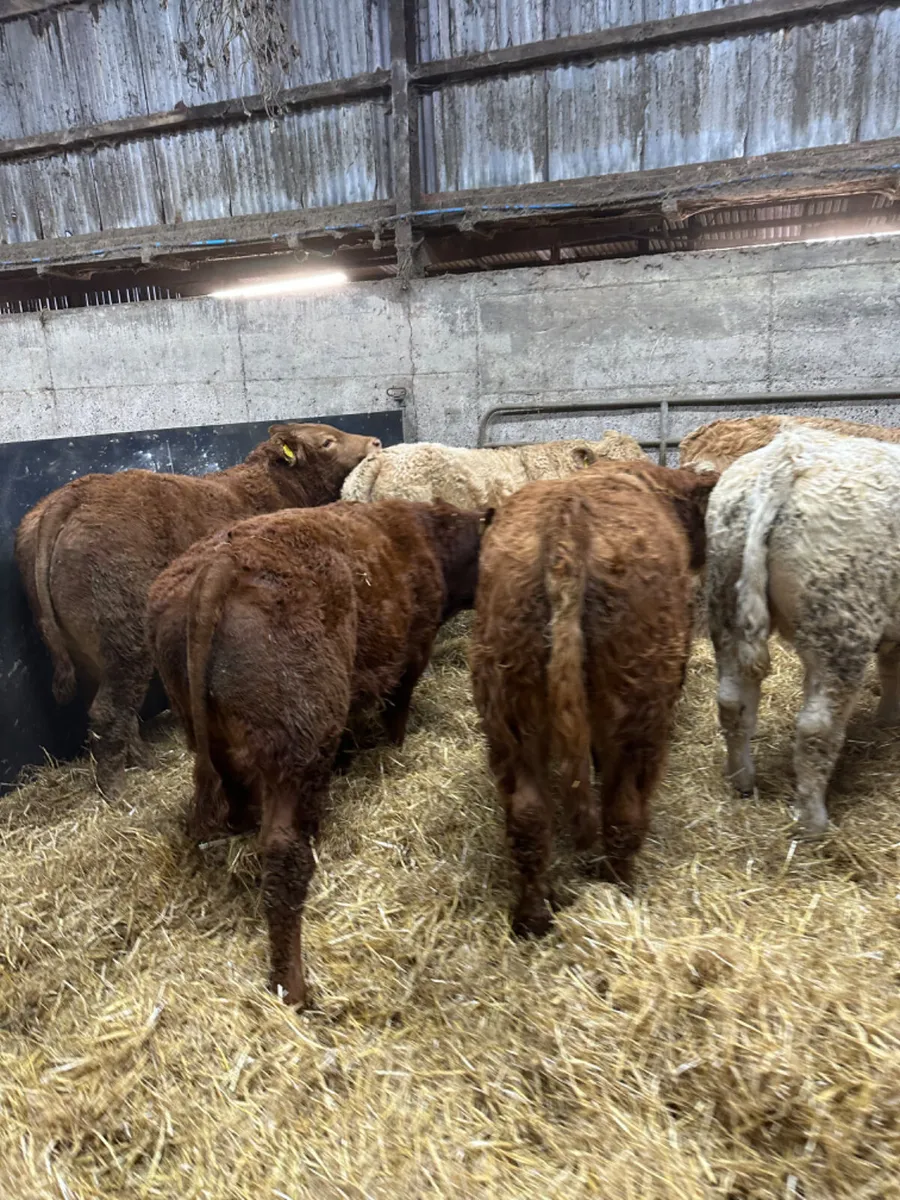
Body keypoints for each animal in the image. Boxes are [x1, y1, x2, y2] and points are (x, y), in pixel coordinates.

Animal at [15, 423, 381, 796]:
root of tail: (73, 496)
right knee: (110, 709)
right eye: (327, 441)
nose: (376, 441)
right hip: (125, 641)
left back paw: (143, 760)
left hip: (92, 651)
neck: (277, 488)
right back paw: (116, 787)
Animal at [147, 499, 485, 1006]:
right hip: (298, 740)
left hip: (217, 737)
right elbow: (397, 710)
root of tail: (224, 561)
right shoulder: (413, 651)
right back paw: (294, 986)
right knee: (284, 854)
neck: (427, 535)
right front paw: (395, 746)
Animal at [470, 460, 718, 936]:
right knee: (623, 814)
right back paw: (620, 894)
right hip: (640, 715)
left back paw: (532, 918)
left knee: (528, 817)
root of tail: (568, 523)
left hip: (508, 714)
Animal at [707, 426, 900, 838]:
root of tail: (784, 458)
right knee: (816, 728)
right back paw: (812, 822)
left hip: (724, 602)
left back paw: (741, 781)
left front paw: (889, 717)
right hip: (840, 620)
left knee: (732, 703)